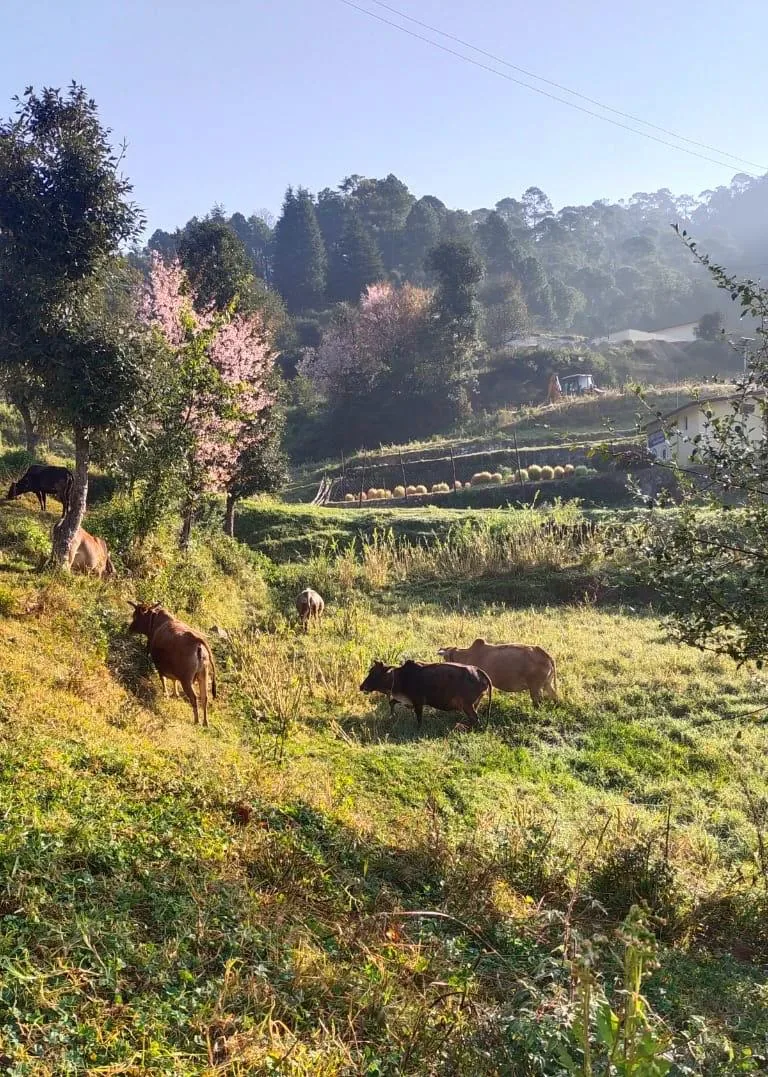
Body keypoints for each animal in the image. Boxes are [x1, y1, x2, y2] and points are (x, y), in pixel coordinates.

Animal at [360, 659, 492, 729]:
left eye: (375, 674)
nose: (362, 686)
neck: (399, 677)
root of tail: (478, 671)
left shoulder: (418, 702)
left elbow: (419, 718)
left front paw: (418, 729)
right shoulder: (405, 699)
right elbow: (391, 702)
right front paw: (392, 716)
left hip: (467, 705)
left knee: (476, 719)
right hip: (474, 704)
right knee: (474, 719)